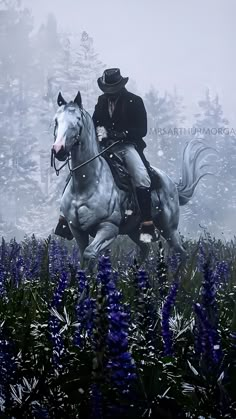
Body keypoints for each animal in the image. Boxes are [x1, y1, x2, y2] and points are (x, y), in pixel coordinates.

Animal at [52, 91, 214, 270]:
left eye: (77, 121)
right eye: (56, 120)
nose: (58, 150)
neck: (85, 185)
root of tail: (172, 184)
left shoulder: (109, 228)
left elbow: (90, 253)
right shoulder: (77, 230)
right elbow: (84, 256)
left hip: (168, 229)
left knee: (181, 252)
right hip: (135, 231)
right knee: (145, 249)